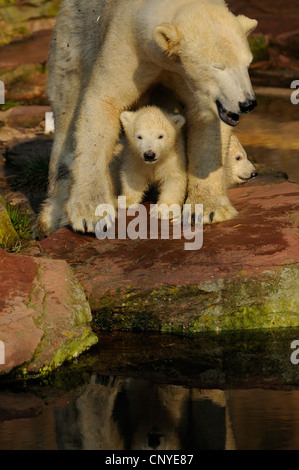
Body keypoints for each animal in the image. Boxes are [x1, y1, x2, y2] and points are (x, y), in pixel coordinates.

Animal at [36, 0, 258, 237]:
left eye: (247, 64)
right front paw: (91, 214)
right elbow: (102, 104)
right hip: (74, 38)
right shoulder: (125, 49)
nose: (247, 103)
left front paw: (208, 208)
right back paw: (51, 216)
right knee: (67, 113)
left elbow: (205, 124)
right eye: (218, 66)